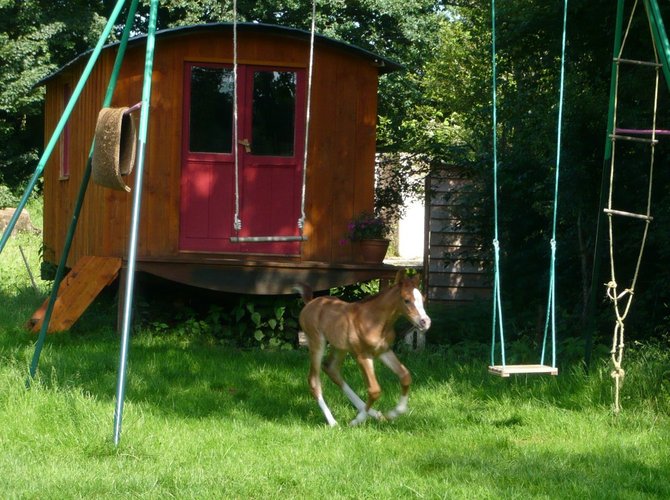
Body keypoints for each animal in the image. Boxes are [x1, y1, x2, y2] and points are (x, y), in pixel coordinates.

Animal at [296, 272, 434, 428]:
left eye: (422, 299)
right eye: (407, 300)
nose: (425, 322)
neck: (374, 320)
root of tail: (309, 303)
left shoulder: (384, 351)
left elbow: (405, 376)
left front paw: (395, 412)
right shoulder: (362, 355)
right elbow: (374, 390)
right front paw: (357, 421)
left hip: (340, 347)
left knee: (331, 369)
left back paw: (375, 414)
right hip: (317, 342)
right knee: (314, 380)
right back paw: (333, 422)